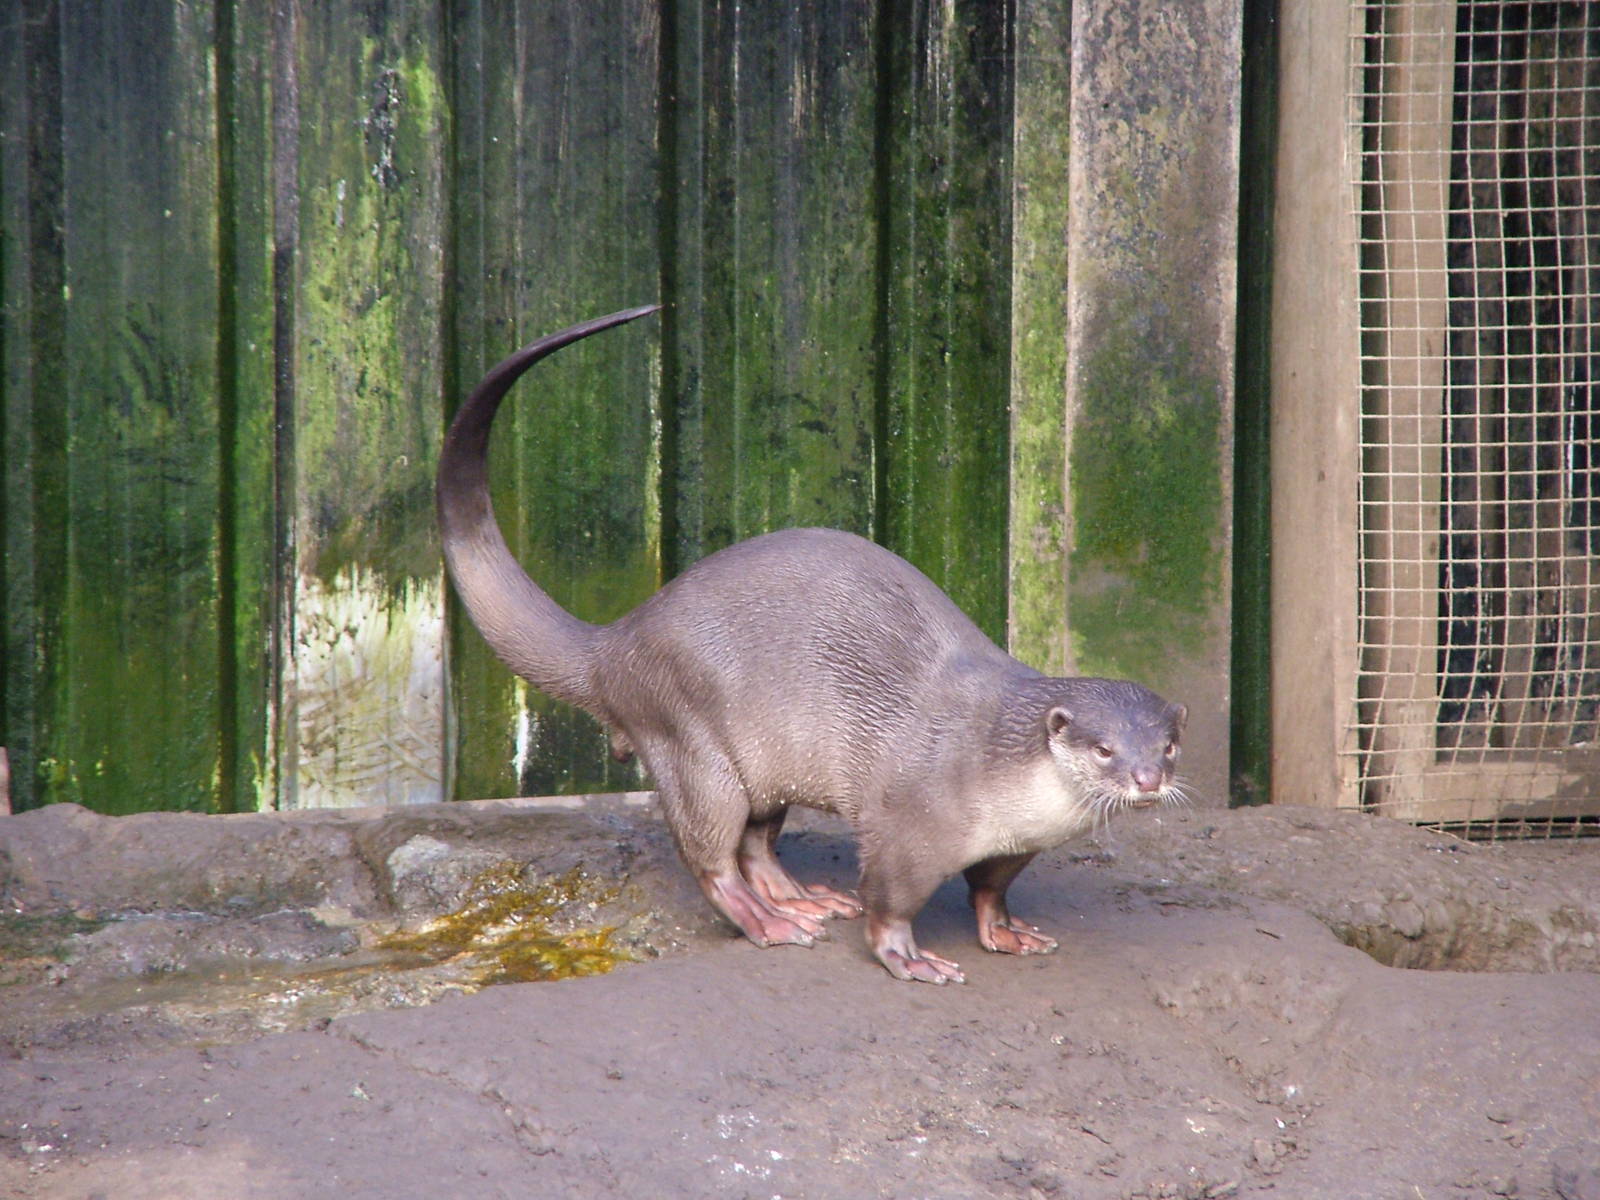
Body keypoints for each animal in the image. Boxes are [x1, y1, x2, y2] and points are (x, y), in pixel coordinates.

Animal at [437, 305, 1187, 983]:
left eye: (1168, 745)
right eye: (1104, 749)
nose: (1147, 779)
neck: (997, 767)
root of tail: (616, 643)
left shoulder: (1013, 845)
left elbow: (990, 887)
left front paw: (1004, 929)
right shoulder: (908, 824)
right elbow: (888, 897)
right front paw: (905, 956)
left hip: (764, 761)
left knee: (755, 841)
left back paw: (799, 898)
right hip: (687, 738)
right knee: (710, 853)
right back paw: (768, 922)